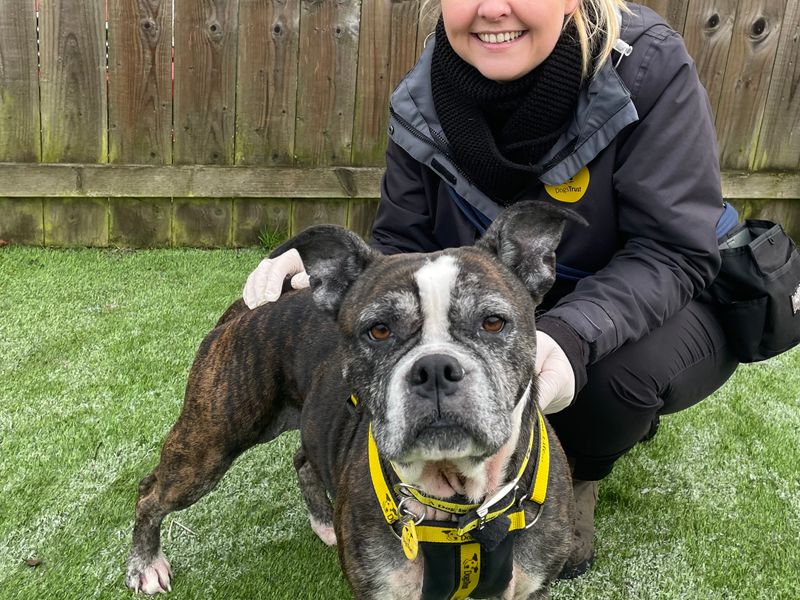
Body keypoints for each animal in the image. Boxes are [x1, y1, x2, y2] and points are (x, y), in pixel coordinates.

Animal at [128, 202, 584, 600]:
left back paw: (324, 522)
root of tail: (254, 305)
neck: (460, 506)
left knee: (303, 460)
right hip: (209, 443)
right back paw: (145, 566)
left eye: (493, 322)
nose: (435, 368)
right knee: (151, 492)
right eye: (378, 330)